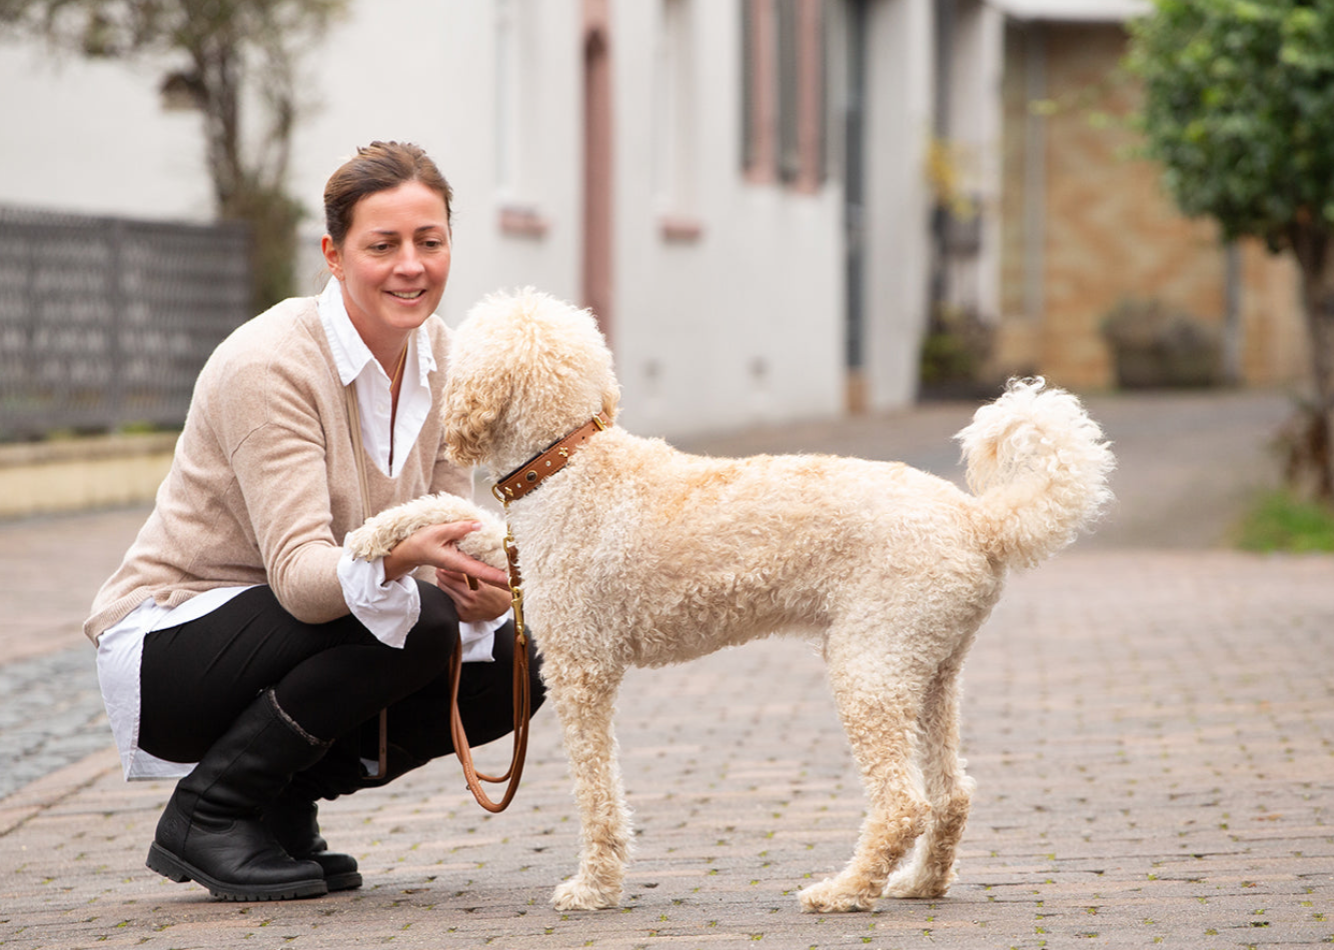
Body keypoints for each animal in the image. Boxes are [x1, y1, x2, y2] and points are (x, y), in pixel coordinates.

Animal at [346, 289, 1115, 912]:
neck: (565, 464)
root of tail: (980, 521)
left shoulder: (580, 672)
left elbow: (597, 793)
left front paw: (594, 886)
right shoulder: (513, 553)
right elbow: (450, 512)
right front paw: (368, 537)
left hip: (871, 667)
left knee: (903, 804)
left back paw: (844, 891)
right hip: (930, 673)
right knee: (951, 795)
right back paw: (920, 883)